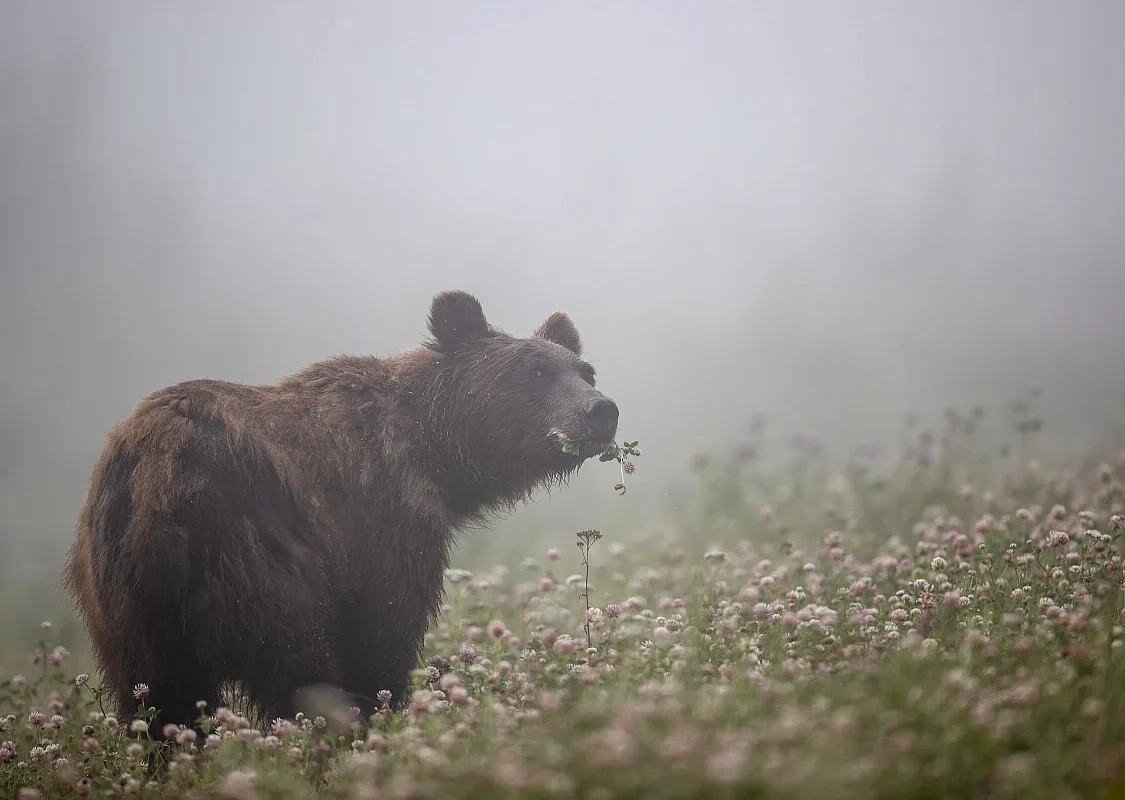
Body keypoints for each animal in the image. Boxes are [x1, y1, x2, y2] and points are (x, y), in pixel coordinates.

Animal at [62, 289, 619, 736]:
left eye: (585, 371)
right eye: (536, 371)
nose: (602, 410)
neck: (433, 449)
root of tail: (154, 473)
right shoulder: (383, 516)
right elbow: (381, 637)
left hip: (121, 597)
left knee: (156, 698)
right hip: (245, 547)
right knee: (296, 666)